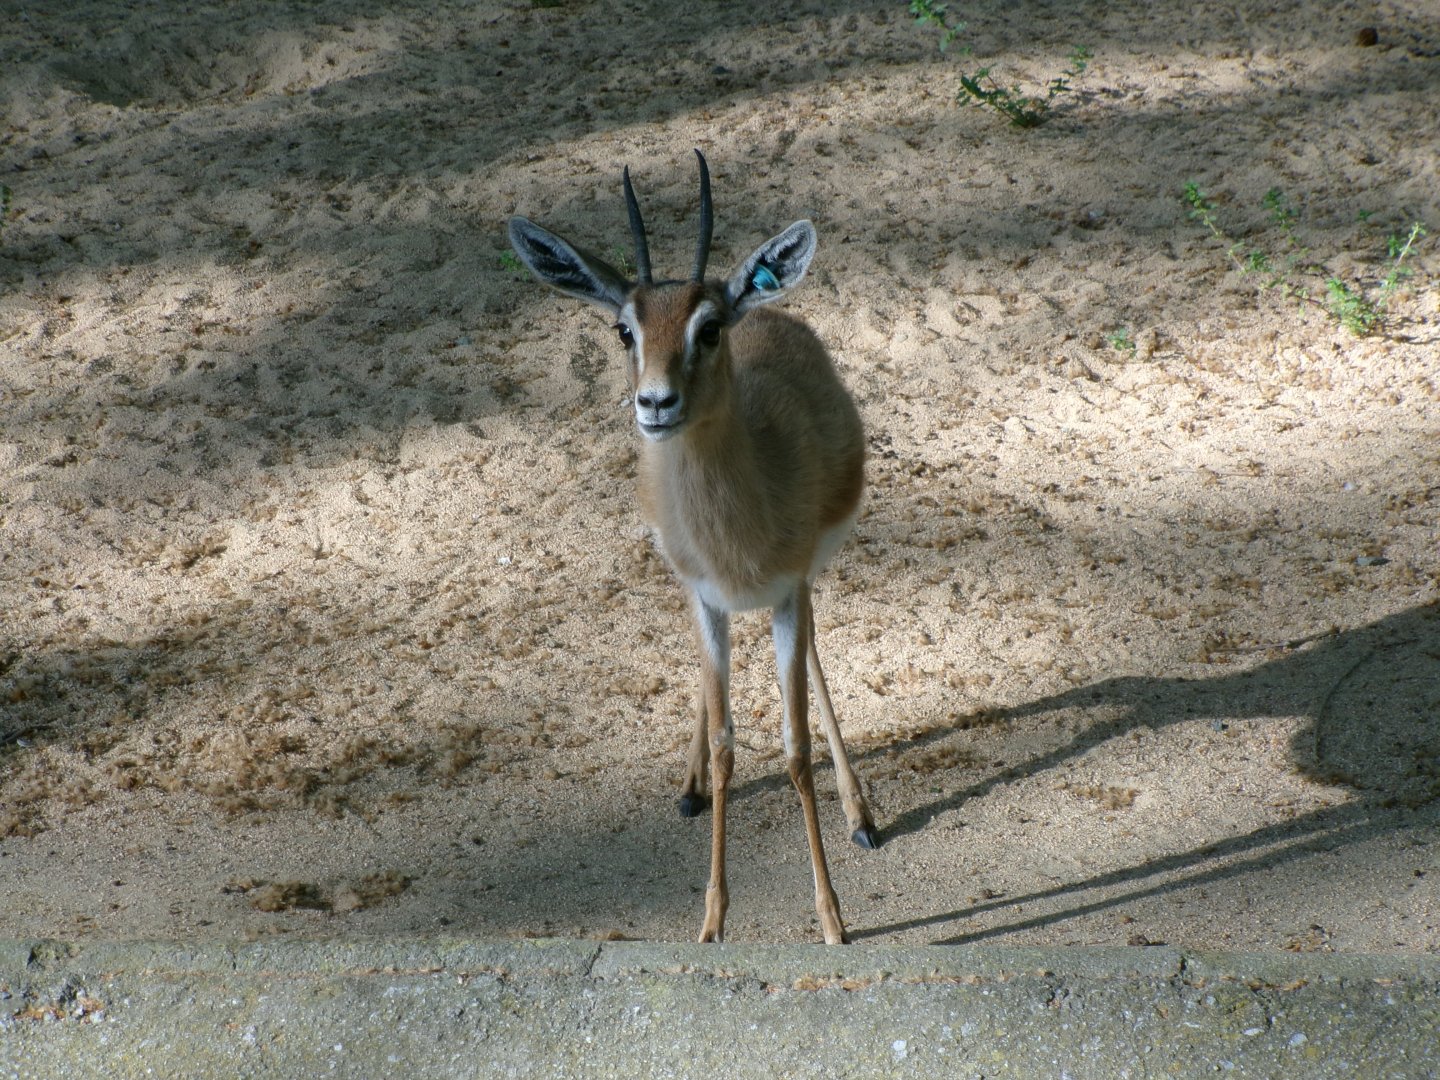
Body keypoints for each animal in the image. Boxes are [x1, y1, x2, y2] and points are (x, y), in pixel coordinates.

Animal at [508, 151, 878, 945]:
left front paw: (833, 919)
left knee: (816, 664)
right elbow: (728, 745)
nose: (655, 403)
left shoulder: (789, 591)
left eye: (707, 329)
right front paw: (710, 921)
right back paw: (689, 787)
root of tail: (766, 307)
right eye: (625, 330)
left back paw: (861, 813)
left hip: (806, 582)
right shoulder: (705, 599)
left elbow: (795, 748)